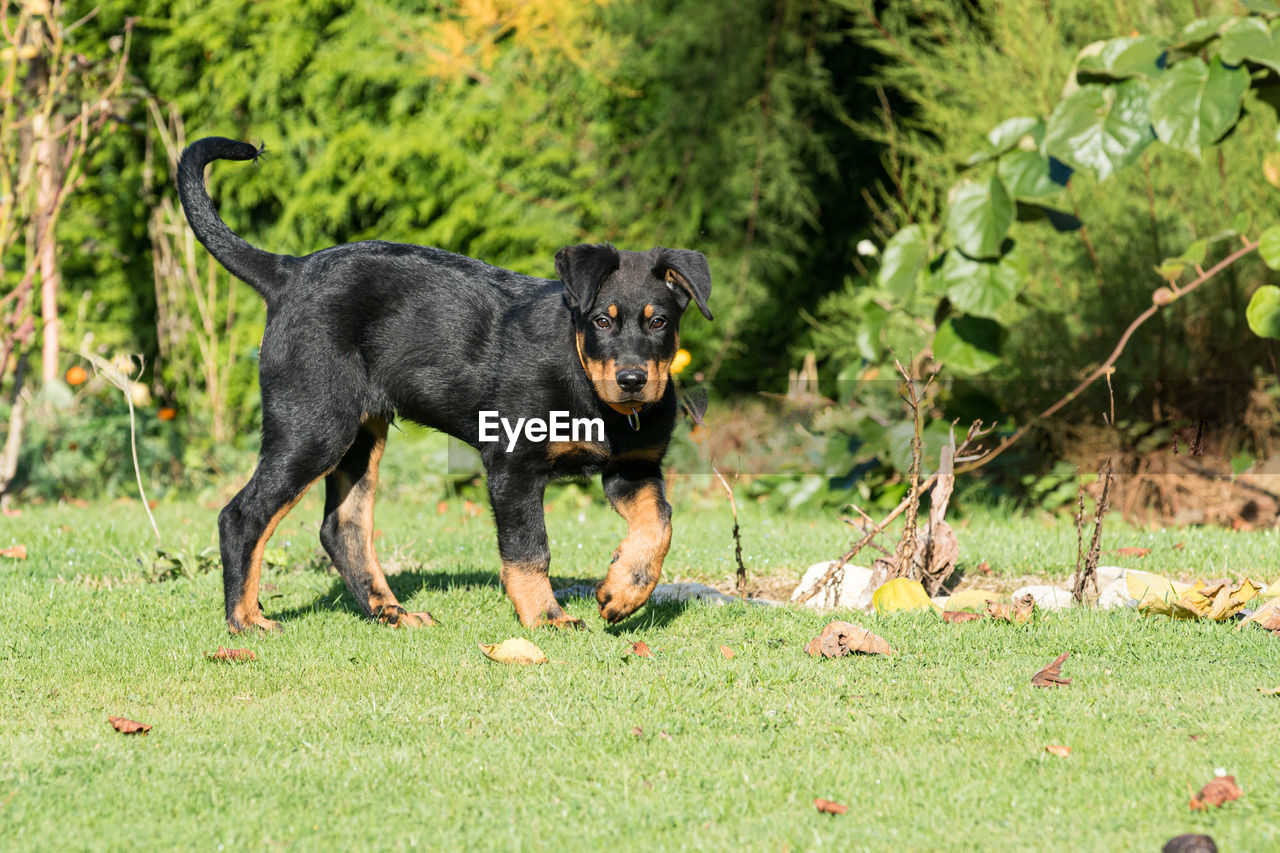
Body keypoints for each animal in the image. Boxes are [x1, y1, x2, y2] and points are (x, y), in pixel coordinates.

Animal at [175, 137, 711, 630]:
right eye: (602, 320)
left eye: (659, 321)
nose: (632, 380)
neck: (585, 380)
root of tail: (289, 271)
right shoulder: (512, 466)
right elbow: (529, 549)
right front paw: (546, 619)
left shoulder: (634, 468)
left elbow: (659, 523)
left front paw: (624, 591)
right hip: (314, 424)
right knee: (242, 516)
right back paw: (246, 621)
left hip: (360, 433)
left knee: (342, 526)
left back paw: (390, 612)